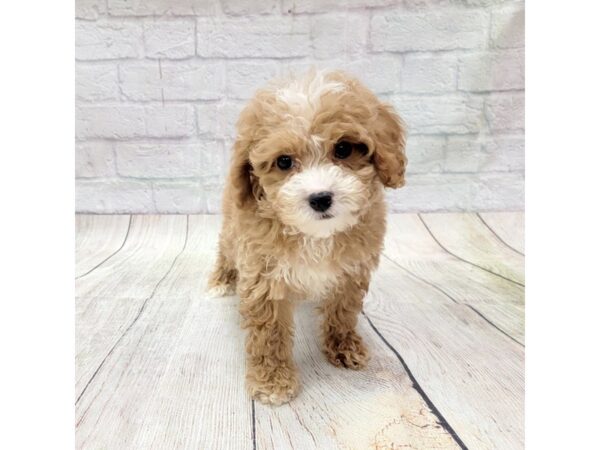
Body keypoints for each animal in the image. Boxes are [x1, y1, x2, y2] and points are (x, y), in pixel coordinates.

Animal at [207, 68, 408, 406]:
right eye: (284, 161)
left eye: (343, 149)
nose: (320, 198)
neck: (315, 236)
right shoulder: (263, 274)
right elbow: (270, 333)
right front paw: (273, 380)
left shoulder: (351, 271)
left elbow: (342, 311)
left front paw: (344, 346)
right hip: (232, 228)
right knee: (224, 247)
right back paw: (220, 280)